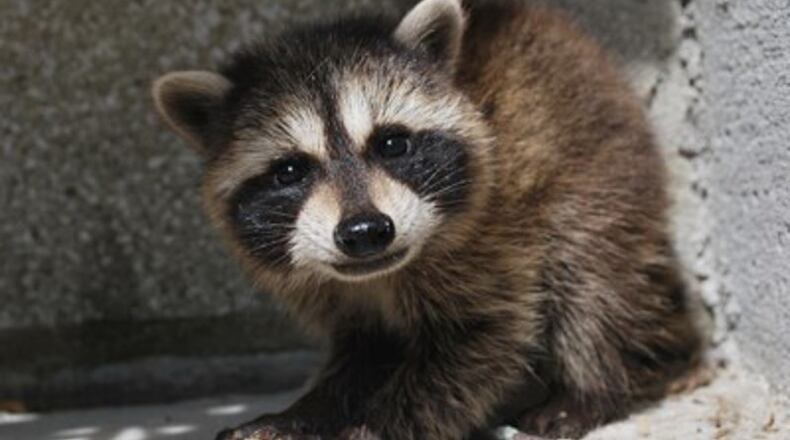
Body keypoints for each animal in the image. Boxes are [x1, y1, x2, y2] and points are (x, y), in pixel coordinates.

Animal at [152, 0, 702, 438]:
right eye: (290, 170)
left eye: (392, 143)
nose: (365, 232)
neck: (377, 276)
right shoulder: (338, 292)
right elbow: (362, 354)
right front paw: (303, 412)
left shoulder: (491, 244)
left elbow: (476, 344)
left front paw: (376, 425)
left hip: (601, 171)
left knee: (592, 280)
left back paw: (592, 386)